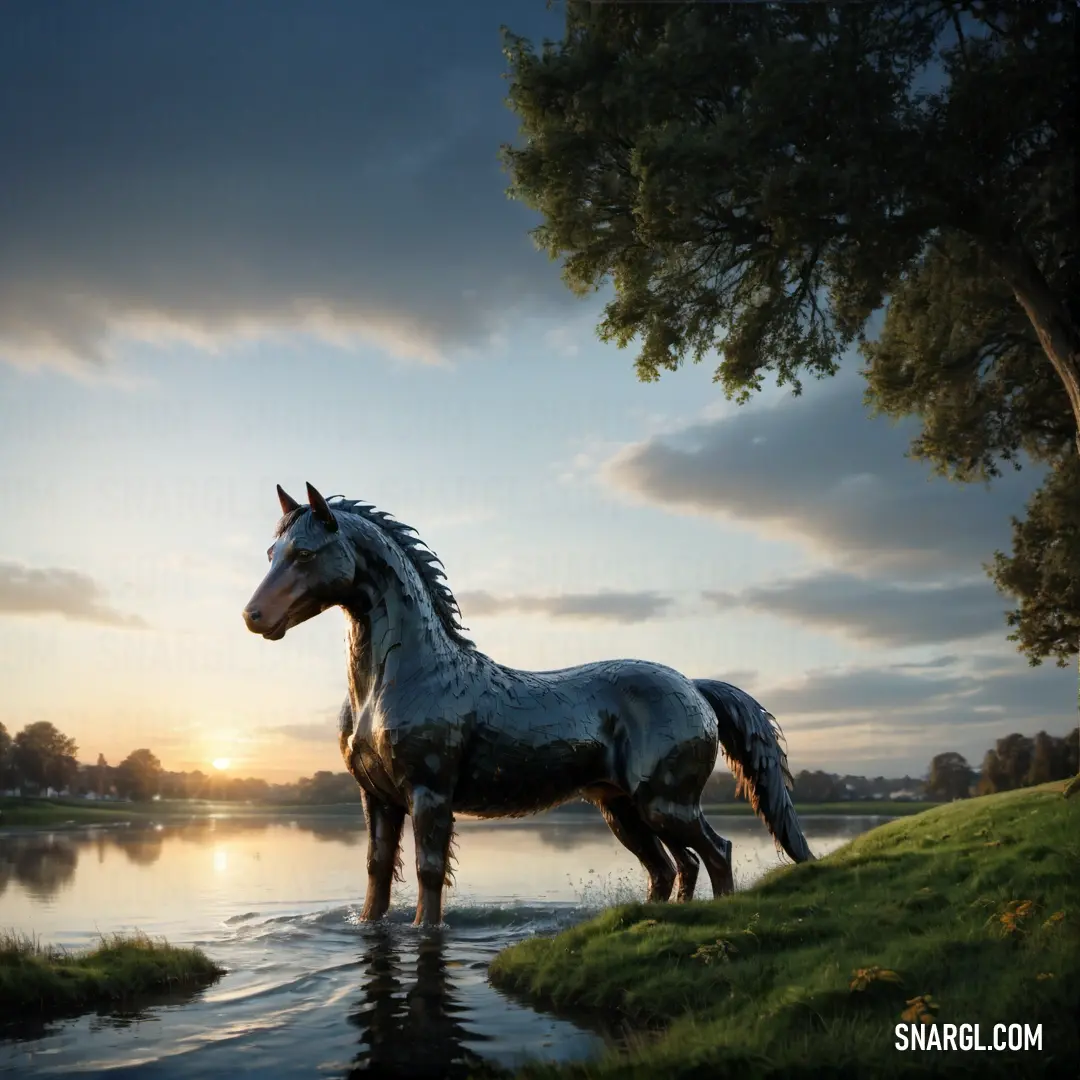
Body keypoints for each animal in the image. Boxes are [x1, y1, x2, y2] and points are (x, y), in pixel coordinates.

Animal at [240, 486, 807, 924]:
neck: (395, 681)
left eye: (305, 554)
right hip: (622, 808)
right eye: (272, 553)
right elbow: (378, 872)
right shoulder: (377, 798)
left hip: (665, 803)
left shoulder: (429, 794)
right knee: (673, 867)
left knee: (715, 852)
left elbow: (428, 873)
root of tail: (693, 685)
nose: (253, 616)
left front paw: (426, 931)